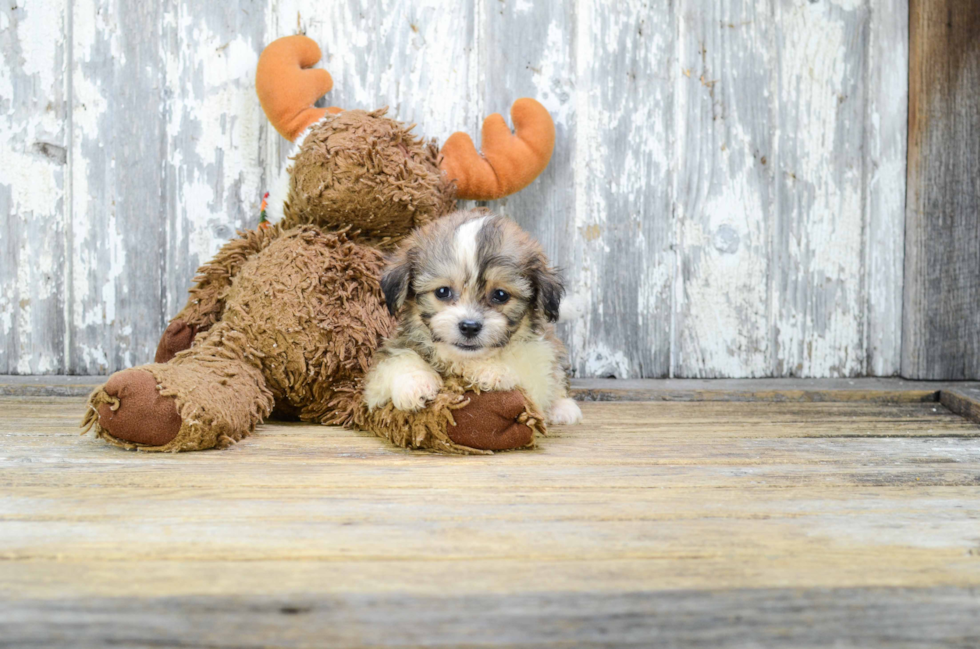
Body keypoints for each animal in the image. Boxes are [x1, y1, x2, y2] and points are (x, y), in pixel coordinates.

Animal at [366, 210, 580, 428]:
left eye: (500, 295)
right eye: (443, 292)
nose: (469, 327)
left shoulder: (537, 359)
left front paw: (492, 370)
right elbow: (396, 360)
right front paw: (415, 384)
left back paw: (563, 408)